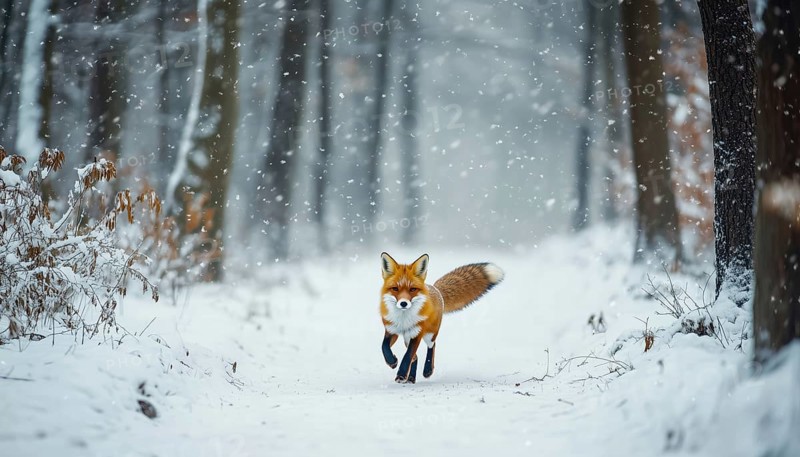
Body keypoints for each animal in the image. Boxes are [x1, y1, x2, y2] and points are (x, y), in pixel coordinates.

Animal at [379, 252, 504, 383]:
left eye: (412, 289)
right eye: (395, 288)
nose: (403, 303)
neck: (403, 319)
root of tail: (435, 289)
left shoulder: (417, 334)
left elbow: (407, 356)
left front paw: (401, 374)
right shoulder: (391, 330)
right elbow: (384, 347)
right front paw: (392, 362)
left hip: (429, 334)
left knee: (431, 346)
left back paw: (427, 370)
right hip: (407, 338)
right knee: (416, 357)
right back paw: (411, 378)